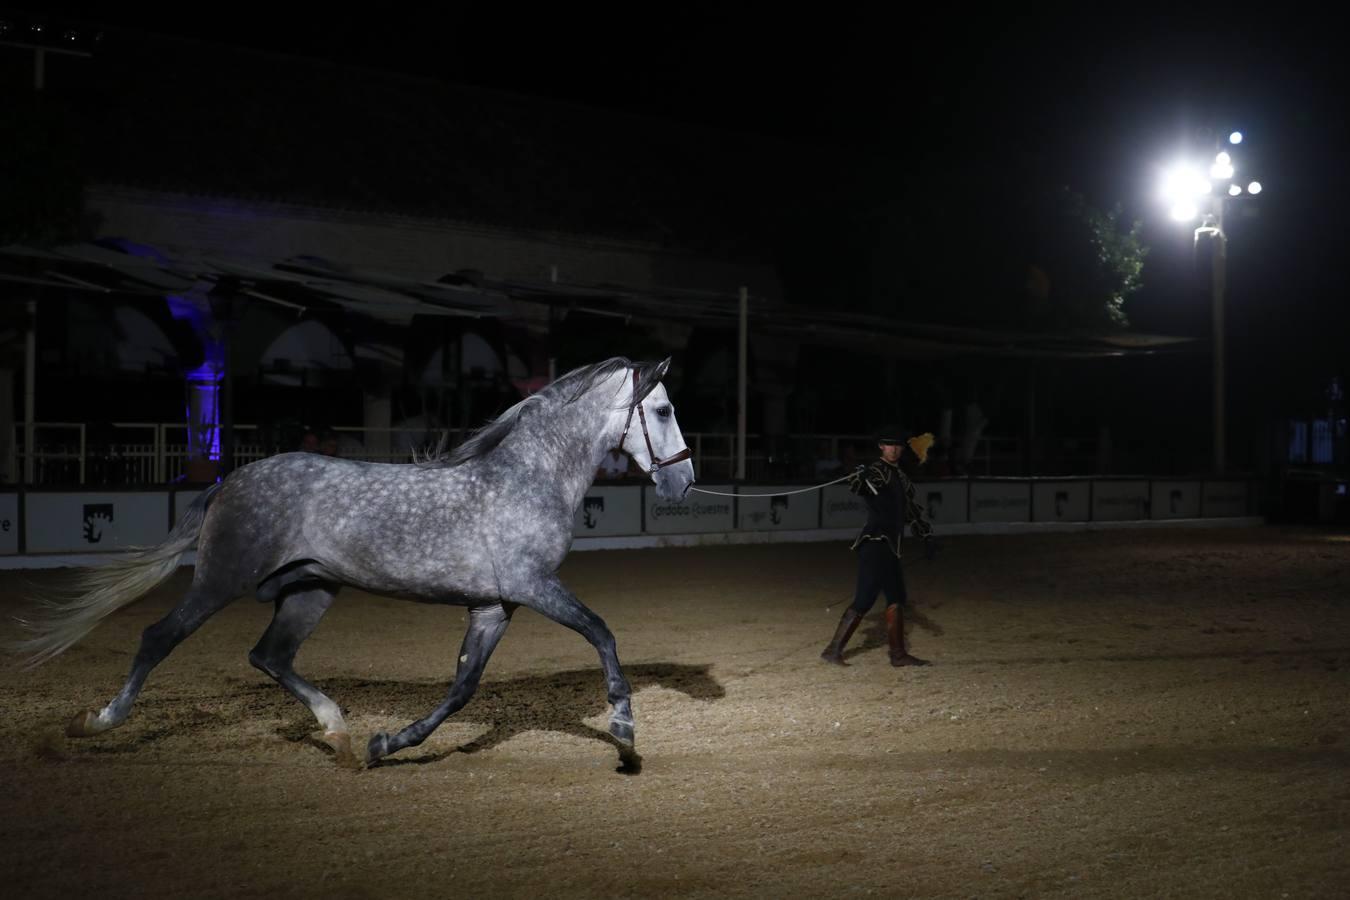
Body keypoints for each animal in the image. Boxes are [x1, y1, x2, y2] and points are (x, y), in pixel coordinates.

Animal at [18, 358, 696, 766]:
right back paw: (96, 723)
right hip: (222, 579)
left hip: (310, 590)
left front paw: (386, 743)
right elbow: (602, 634)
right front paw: (624, 734)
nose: (683, 482)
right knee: (159, 637)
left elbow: (462, 688)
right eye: (663, 411)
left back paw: (339, 731)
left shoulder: (494, 605)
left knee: (269, 656)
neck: (529, 477)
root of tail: (229, 480)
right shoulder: (534, 586)